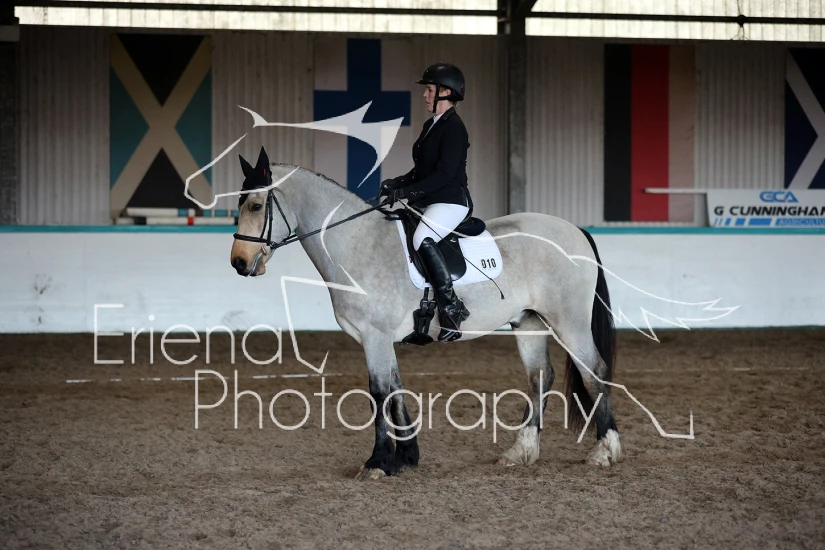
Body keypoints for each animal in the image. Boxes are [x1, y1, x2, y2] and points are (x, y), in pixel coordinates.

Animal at [229, 147, 623, 480]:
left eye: (256, 206)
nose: (239, 263)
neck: (358, 243)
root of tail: (574, 230)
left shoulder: (374, 335)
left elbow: (379, 393)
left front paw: (378, 463)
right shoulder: (380, 338)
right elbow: (396, 389)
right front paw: (406, 458)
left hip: (569, 321)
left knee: (594, 370)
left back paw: (605, 451)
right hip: (528, 322)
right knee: (540, 377)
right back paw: (520, 452)